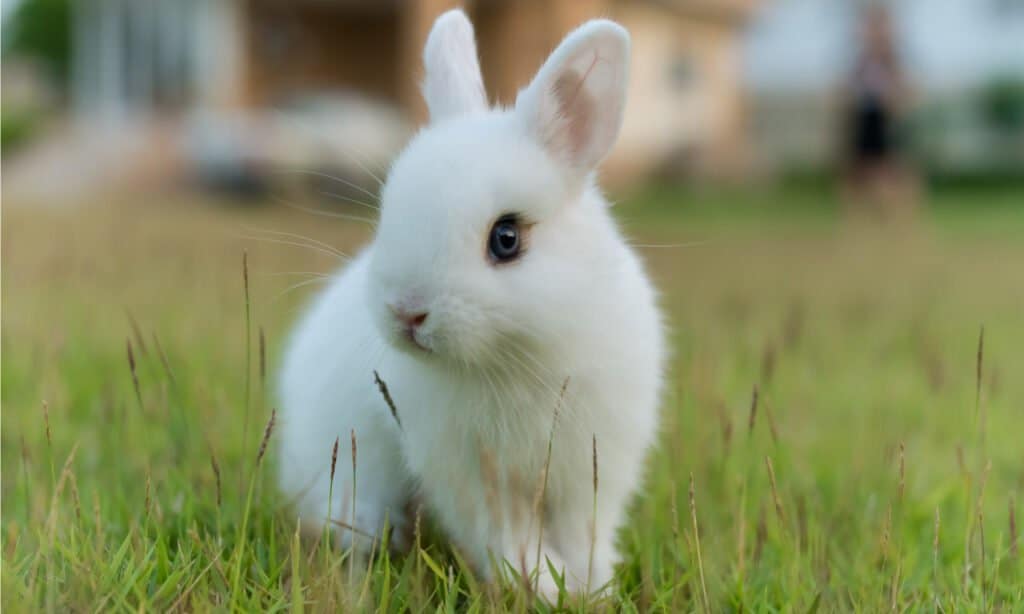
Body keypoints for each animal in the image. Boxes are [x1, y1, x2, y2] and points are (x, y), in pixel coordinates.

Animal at [278, 7, 663, 597]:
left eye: (506, 238)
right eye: (388, 212)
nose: (406, 311)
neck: (517, 359)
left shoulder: (593, 469)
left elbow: (584, 534)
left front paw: (591, 589)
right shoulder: (471, 479)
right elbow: (507, 537)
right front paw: (544, 587)